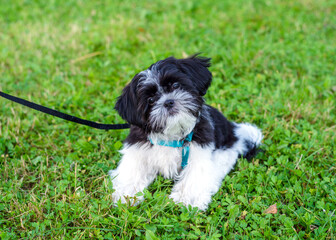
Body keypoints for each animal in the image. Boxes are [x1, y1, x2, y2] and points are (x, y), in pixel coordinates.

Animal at [109, 54, 264, 210]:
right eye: (151, 99)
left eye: (176, 85)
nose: (168, 102)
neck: (172, 134)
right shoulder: (138, 148)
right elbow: (132, 170)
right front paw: (126, 195)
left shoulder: (199, 150)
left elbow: (195, 175)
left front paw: (187, 199)